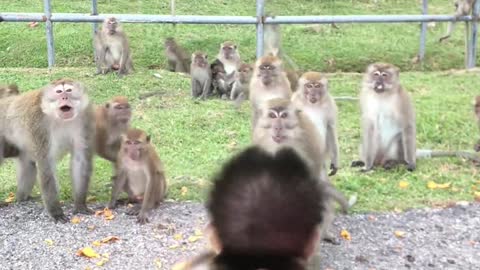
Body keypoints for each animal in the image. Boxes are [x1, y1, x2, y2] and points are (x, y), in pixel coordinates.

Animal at [0, 78, 95, 221]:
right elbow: (46, 164)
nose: (64, 97)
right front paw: (56, 212)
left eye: (69, 90)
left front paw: (80, 205)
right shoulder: (39, 124)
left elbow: (80, 160)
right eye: (59, 92)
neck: (58, 118)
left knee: (28, 165)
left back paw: (22, 198)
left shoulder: (84, 119)